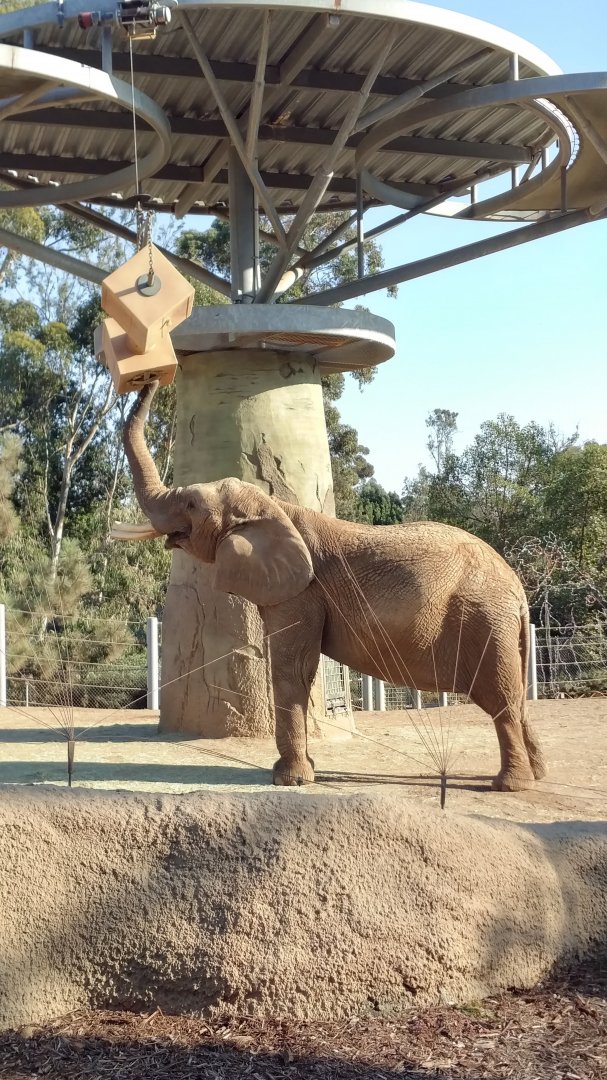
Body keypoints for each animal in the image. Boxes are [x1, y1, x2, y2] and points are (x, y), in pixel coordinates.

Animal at [119, 382, 546, 793]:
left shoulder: (302, 593)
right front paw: (301, 772)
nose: (151, 377)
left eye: (191, 504)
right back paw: (538, 774)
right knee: (516, 699)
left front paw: (288, 780)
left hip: (484, 620)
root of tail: (517, 588)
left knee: (501, 699)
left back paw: (510, 785)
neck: (275, 508)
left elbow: (292, 668)